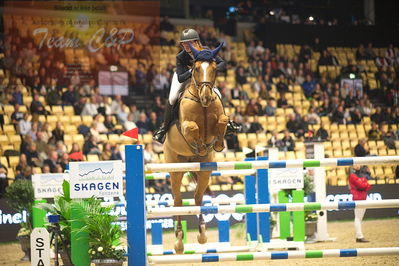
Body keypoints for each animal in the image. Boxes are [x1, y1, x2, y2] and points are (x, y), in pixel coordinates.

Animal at [162, 42, 230, 254]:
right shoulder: (186, 127)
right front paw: (199, 145)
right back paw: (178, 242)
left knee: (198, 198)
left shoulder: (218, 119)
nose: (206, 97)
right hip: (175, 170)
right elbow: (192, 128)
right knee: (178, 201)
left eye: (214, 68)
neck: (202, 104)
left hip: (205, 170)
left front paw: (217, 144)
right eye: (197, 68)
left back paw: (202, 234)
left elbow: (222, 121)